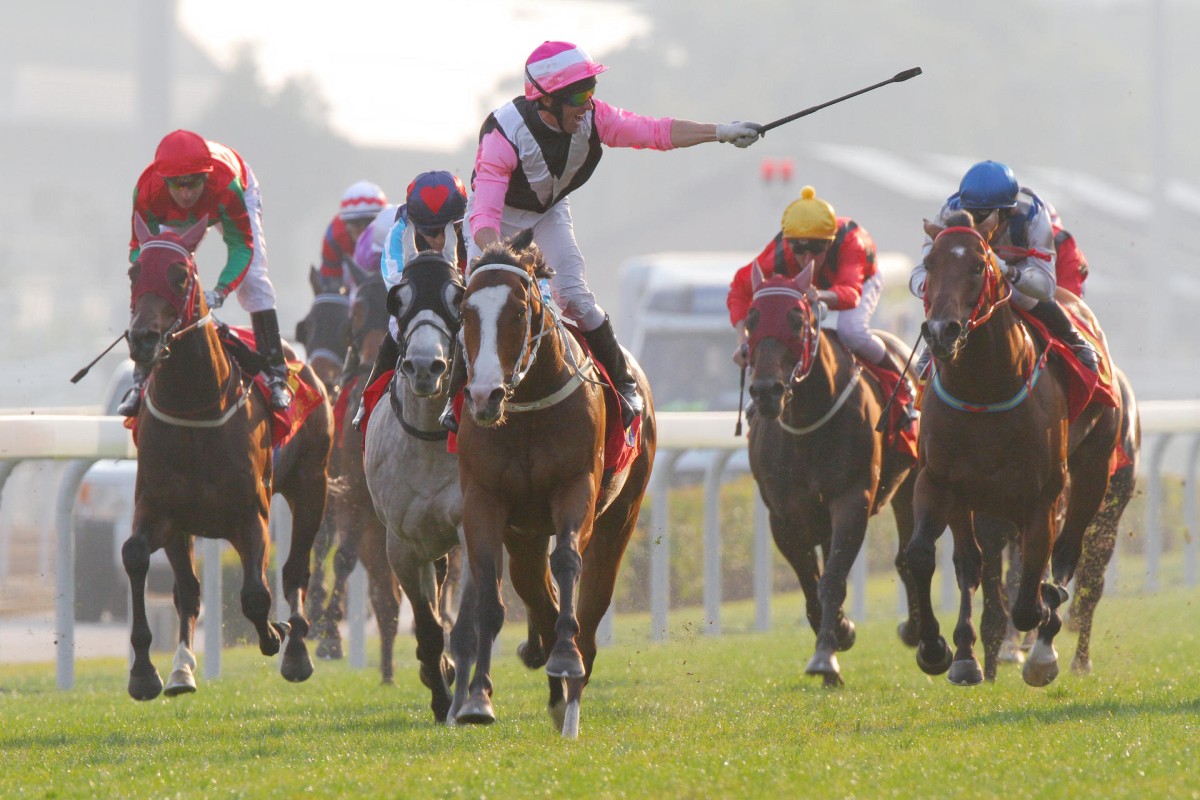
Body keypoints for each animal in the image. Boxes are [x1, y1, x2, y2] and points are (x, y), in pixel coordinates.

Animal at [748, 262, 916, 690]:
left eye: (796, 319)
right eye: (752, 319)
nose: (766, 392)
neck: (807, 423)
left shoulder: (852, 499)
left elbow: (833, 579)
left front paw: (827, 653)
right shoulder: (784, 517)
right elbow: (811, 587)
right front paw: (840, 632)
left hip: (910, 482)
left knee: (909, 556)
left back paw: (921, 636)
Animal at [907, 212, 1123, 690]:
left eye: (978, 265)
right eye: (928, 263)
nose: (941, 331)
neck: (984, 387)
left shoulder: (1042, 495)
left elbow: (1029, 598)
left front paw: (1038, 627)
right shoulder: (939, 481)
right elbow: (926, 556)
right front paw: (940, 650)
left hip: (1093, 472)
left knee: (1065, 553)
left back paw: (1043, 646)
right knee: (973, 562)